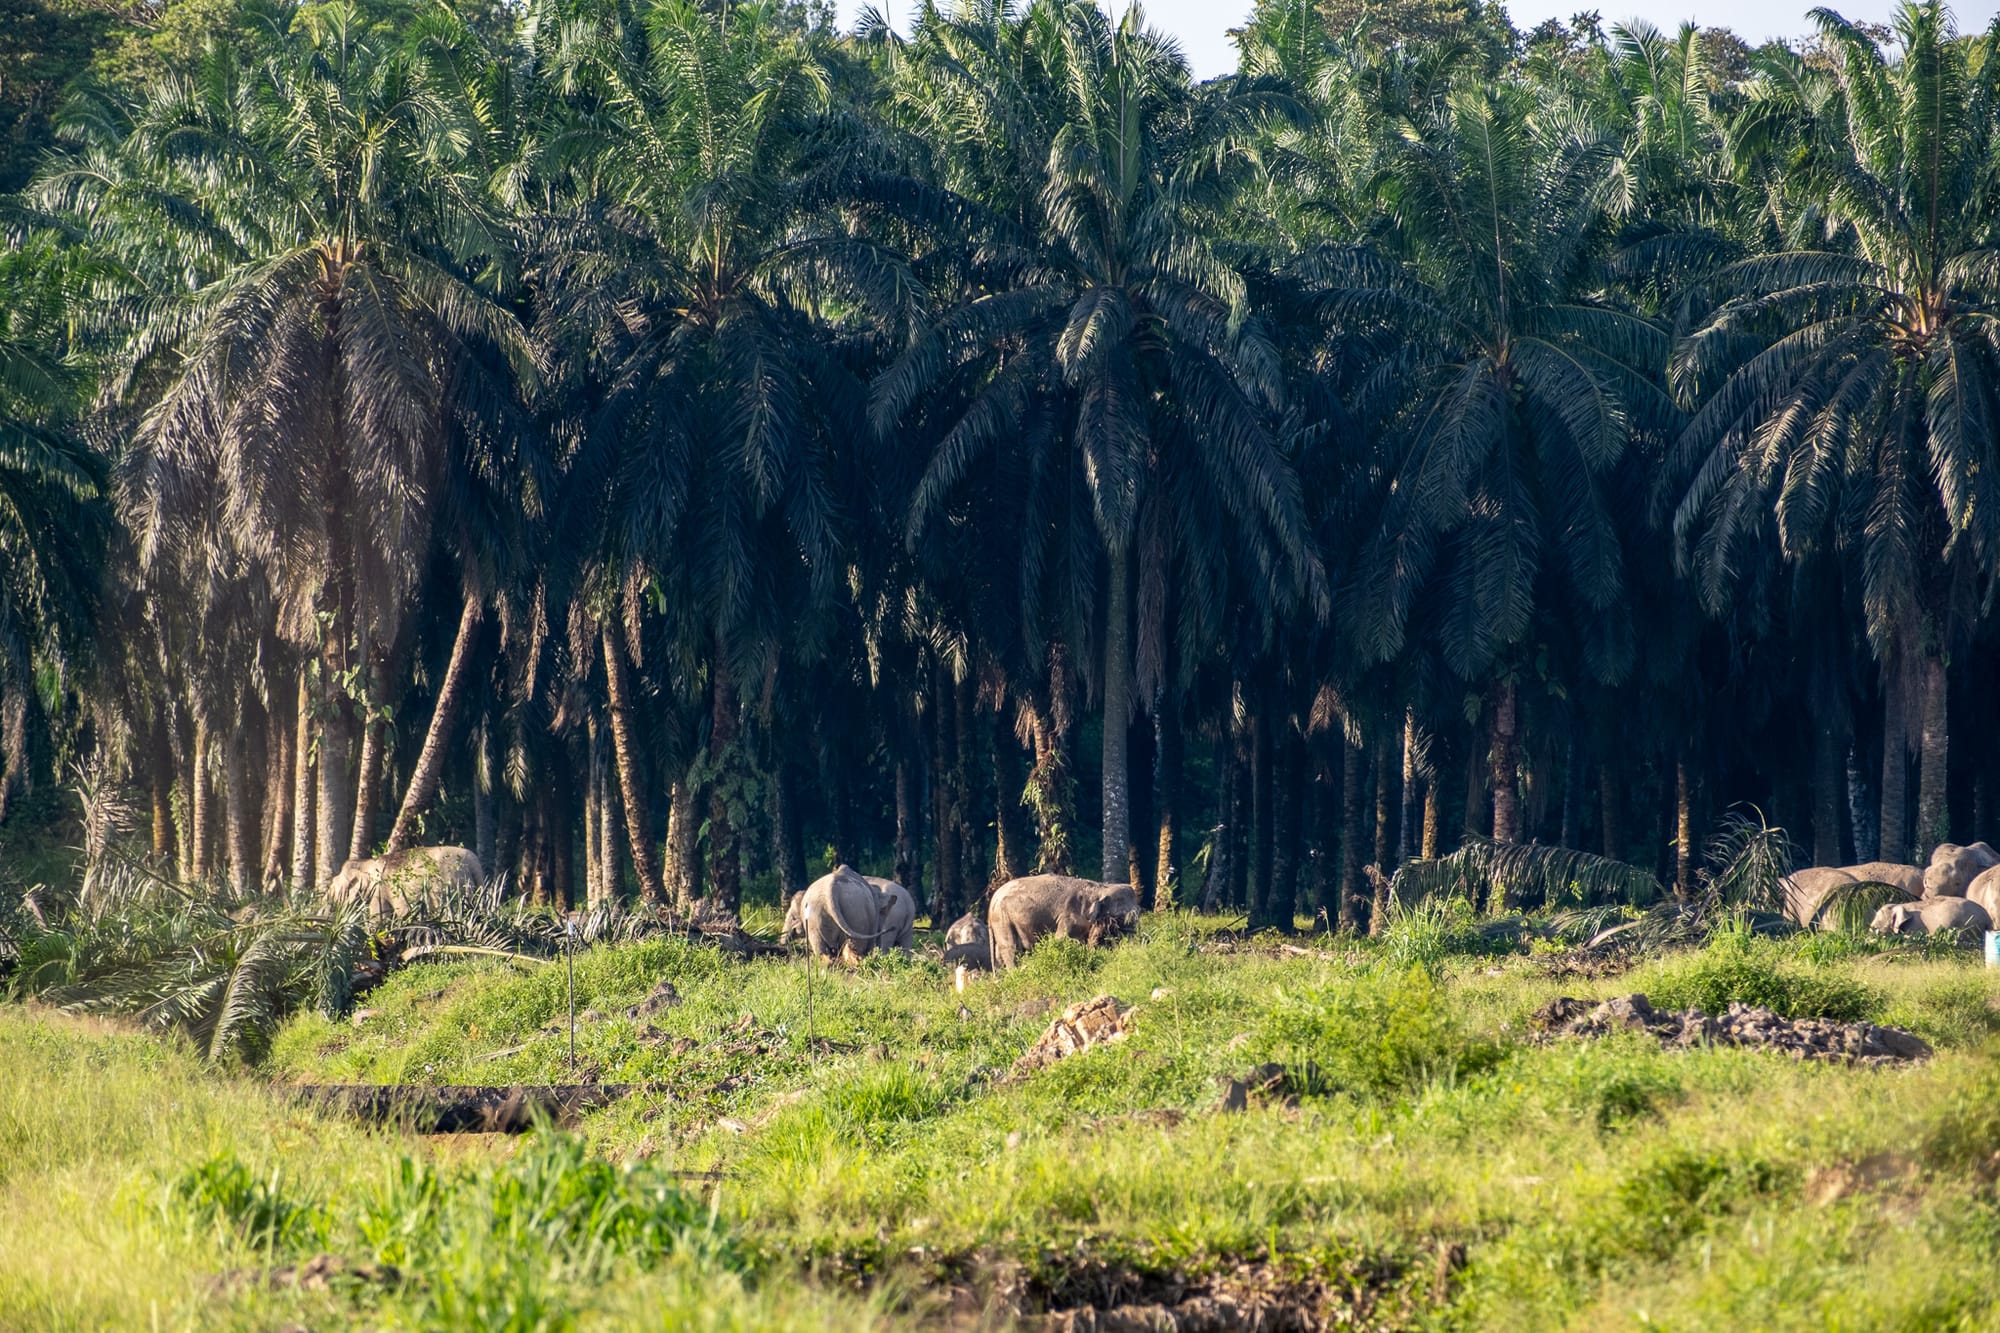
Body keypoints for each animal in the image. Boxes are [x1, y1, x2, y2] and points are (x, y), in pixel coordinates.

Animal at [326, 846, 483, 919]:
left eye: (333, 887)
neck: (368, 862)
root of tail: (473, 862)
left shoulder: (379, 890)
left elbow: (379, 919)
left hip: (446, 884)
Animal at [986, 874, 1141, 970]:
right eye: (1121, 916)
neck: (1100, 888)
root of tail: (991, 903)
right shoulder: (1068, 916)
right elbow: (1061, 940)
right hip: (1002, 919)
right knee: (1011, 948)